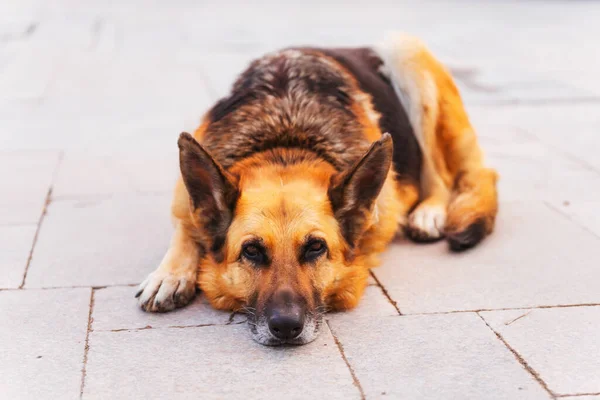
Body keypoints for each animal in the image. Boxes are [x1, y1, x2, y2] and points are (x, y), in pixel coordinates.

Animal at [135, 33, 496, 346]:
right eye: (251, 251)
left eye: (315, 248)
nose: (285, 327)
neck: (286, 139)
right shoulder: (185, 199)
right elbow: (185, 227)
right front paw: (169, 274)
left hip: (405, 52)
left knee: (443, 176)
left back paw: (428, 212)